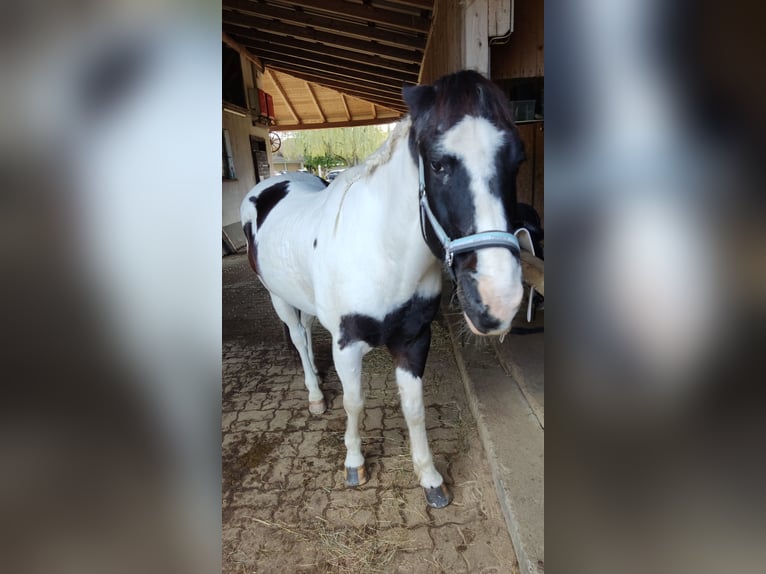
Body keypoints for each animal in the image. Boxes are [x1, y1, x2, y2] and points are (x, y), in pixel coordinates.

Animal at [240, 70, 525, 508]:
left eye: (517, 160)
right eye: (438, 164)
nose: (498, 300)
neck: (381, 252)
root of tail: (269, 184)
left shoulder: (414, 340)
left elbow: (414, 407)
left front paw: (430, 478)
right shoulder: (347, 344)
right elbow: (354, 403)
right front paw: (354, 463)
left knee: (306, 331)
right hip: (278, 298)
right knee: (299, 338)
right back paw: (315, 395)